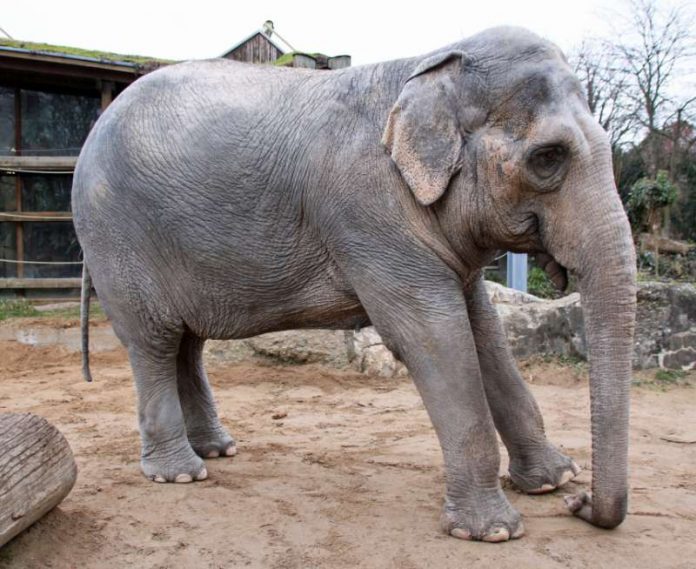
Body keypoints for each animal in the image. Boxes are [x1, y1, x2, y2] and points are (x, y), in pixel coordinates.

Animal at [73, 26, 640, 540]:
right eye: (547, 159)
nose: (580, 504)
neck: (427, 64)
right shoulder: (365, 211)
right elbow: (433, 336)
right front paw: (494, 532)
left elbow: (485, 331)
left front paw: (550, 481)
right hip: (118, 240)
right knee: (155, 341)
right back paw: (180, 474)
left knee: (186, 344)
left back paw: (219, 450)